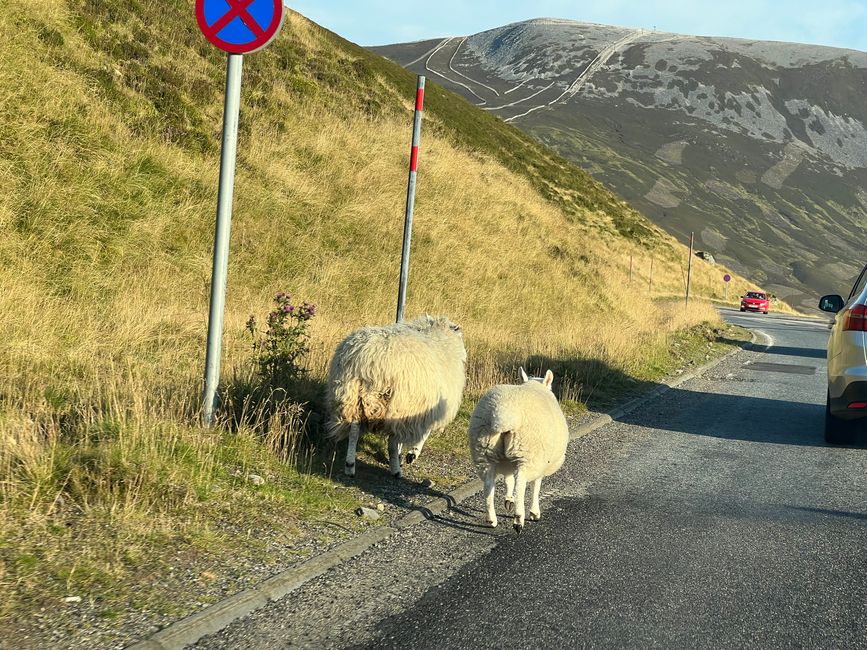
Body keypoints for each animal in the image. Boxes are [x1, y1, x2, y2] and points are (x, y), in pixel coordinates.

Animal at [328, 314, 468, 476]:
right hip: (398, 404)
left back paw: (350, 465)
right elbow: (425, 432)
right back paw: (396, 469)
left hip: (352, 397)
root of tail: (368, 360)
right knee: (392, 442)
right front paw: (412, 454)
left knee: (354, 431)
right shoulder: (429, 406)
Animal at [468, 370, 568, 532]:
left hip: (484, 452)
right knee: (520, 484)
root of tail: (503, 415)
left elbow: (508, 479)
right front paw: (534, 512)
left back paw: (491, 519)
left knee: (488, 485)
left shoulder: (508, 461)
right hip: (526, 454)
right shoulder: (540, 462)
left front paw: (509, 500)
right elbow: (536, 485)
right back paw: (518, 519)